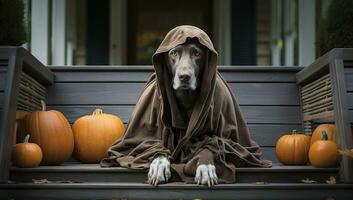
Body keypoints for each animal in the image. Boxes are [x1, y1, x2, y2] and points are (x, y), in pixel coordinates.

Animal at [146, 38, 217, 187]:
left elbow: (210, 143)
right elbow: (156, 149)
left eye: (197, 53)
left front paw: (206, 167)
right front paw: (159, 166)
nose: (184, 77)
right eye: (174, 53)